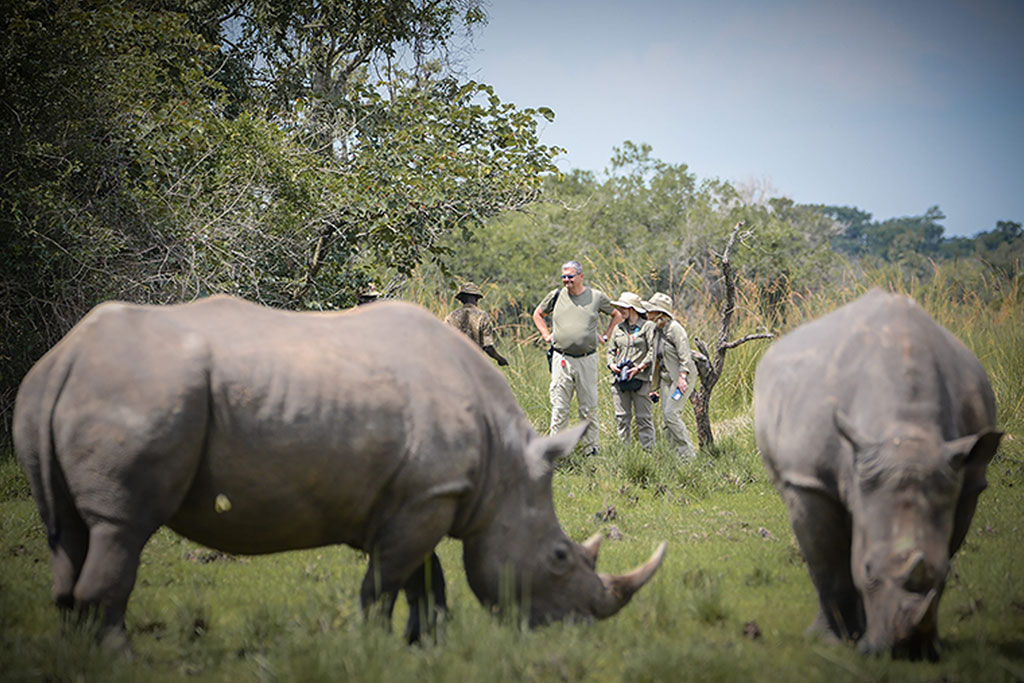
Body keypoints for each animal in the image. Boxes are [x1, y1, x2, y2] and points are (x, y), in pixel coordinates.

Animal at [13, 295, 666, 648]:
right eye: (559, 557)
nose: (577, 627)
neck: (504, 471)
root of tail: (65, 357)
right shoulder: (426, 497)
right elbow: (383, 585)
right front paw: (376, 647)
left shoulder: (421, 495)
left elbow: (425, 580)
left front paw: (426, 647)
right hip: (143, 390)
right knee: (121, 526)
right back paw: (118, 657)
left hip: (62, 393)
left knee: (69, 532)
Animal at [753, 289, 1002, 660]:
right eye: (868, 569)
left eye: (947, 575)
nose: (905, 652)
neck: (906, 432)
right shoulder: (810, 482)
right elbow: (829, 565)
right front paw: (834, 641)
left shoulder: (966, 479)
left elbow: (945, 545)